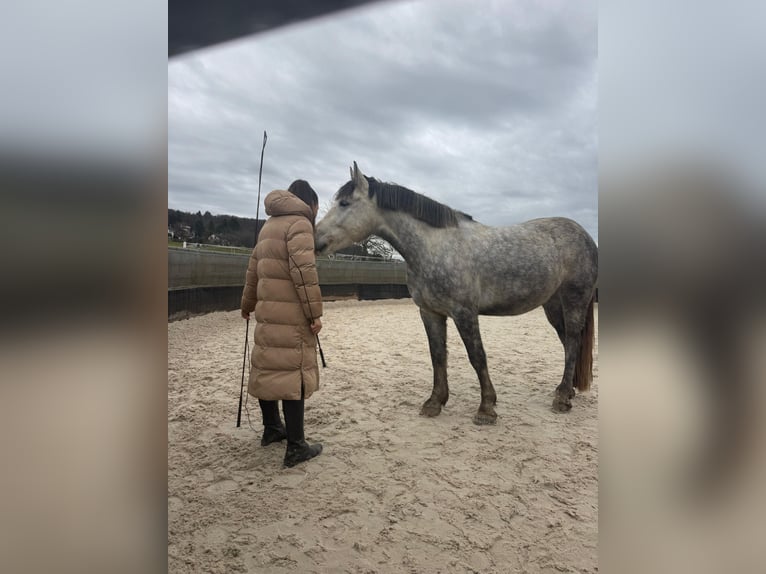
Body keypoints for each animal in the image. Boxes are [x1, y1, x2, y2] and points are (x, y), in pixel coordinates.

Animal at [315, 162, 598, 423]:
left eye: (344, 203)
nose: (316, 241)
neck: (435, 246)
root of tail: (585, 236)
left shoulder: (464, 313)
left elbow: (477, 357)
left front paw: (486, 409)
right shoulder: (430, 312)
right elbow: (438, 355)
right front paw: (434, 402)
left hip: (574, 299)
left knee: (573, 340)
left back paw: (562, 399)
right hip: (552, 305)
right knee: (567, 342)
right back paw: (566, 391)